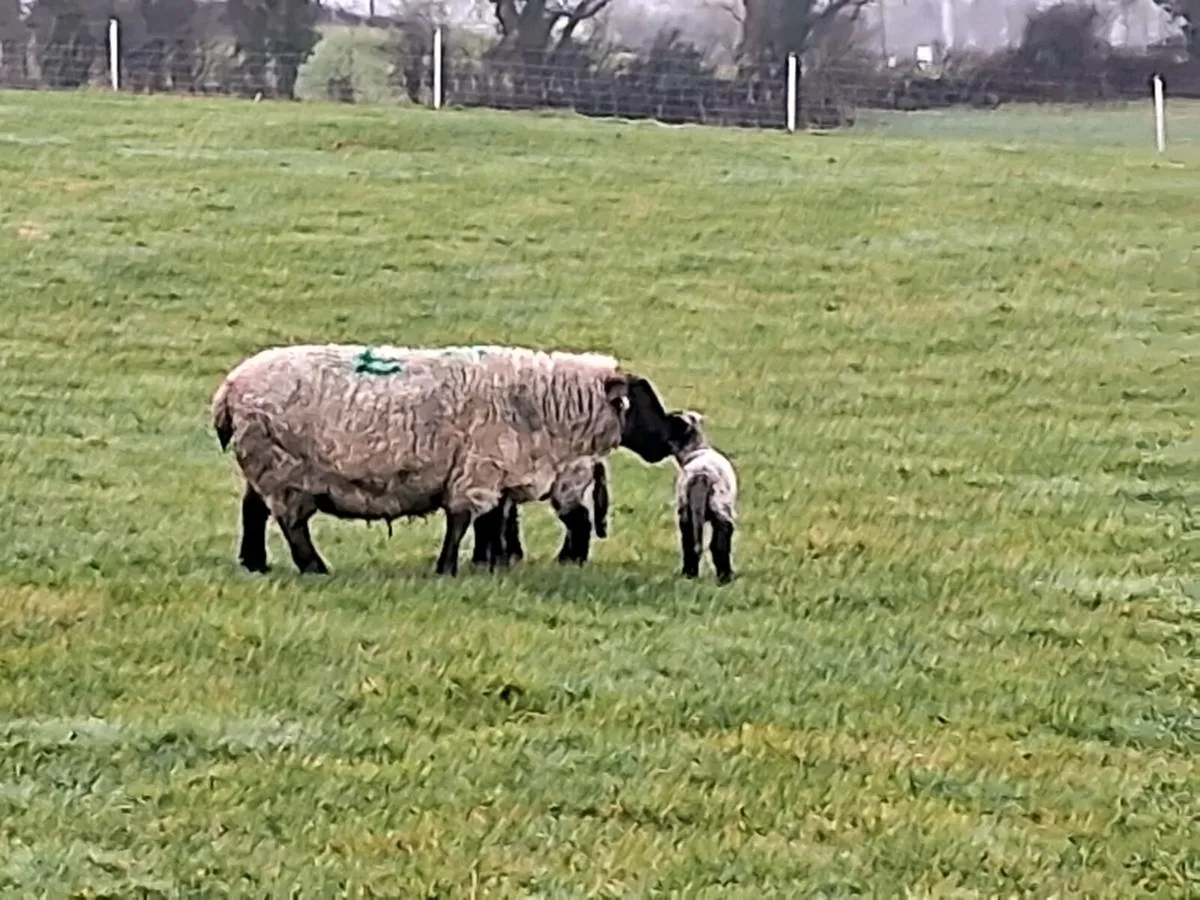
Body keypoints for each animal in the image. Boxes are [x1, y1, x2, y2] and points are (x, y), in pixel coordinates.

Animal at [471, 456, 609, 568]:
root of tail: (594, 460)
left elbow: (491, 526)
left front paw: (491, 563)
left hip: (565, 491)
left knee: (580, 523)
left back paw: (570, 561)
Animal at [665, 409, 738, 584]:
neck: (697, 448)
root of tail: (702, 475)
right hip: (721, 509)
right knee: (719, 544)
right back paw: (725, 577)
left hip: (686, 511)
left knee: (689, 542)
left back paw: (689, 574)